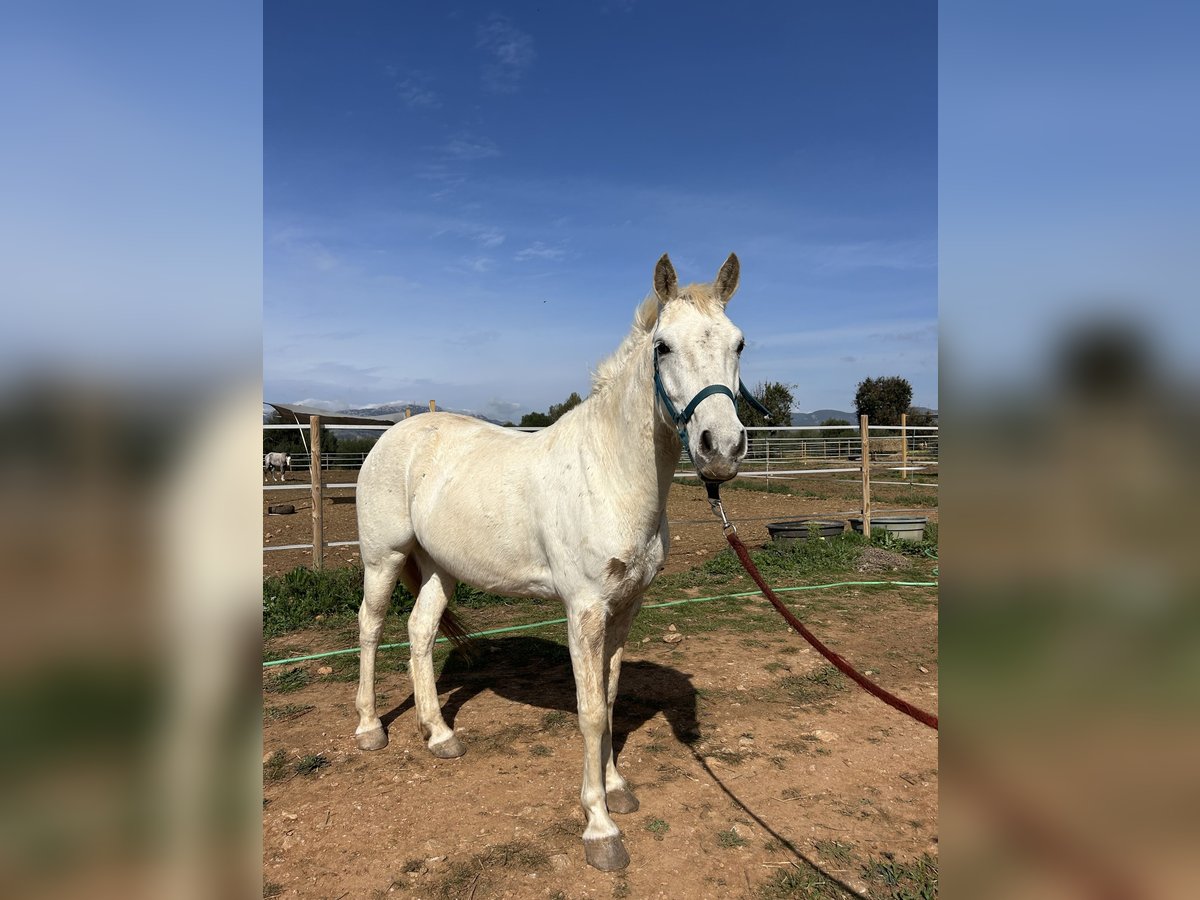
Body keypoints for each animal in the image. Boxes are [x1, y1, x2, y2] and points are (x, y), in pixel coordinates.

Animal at [352, 255, 748, 873]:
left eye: (739, 344)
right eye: (662, 346)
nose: (721, 448)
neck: (610, 471)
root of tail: (397, 431)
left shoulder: (626, 607)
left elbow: (610, 697)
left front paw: (617, 789)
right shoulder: (583, 610)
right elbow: (589, 711)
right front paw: (600, 829)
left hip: (441, 567)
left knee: (419, 631)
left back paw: (439, 736)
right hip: (384, 558)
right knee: (370, 627)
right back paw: (371, 728)